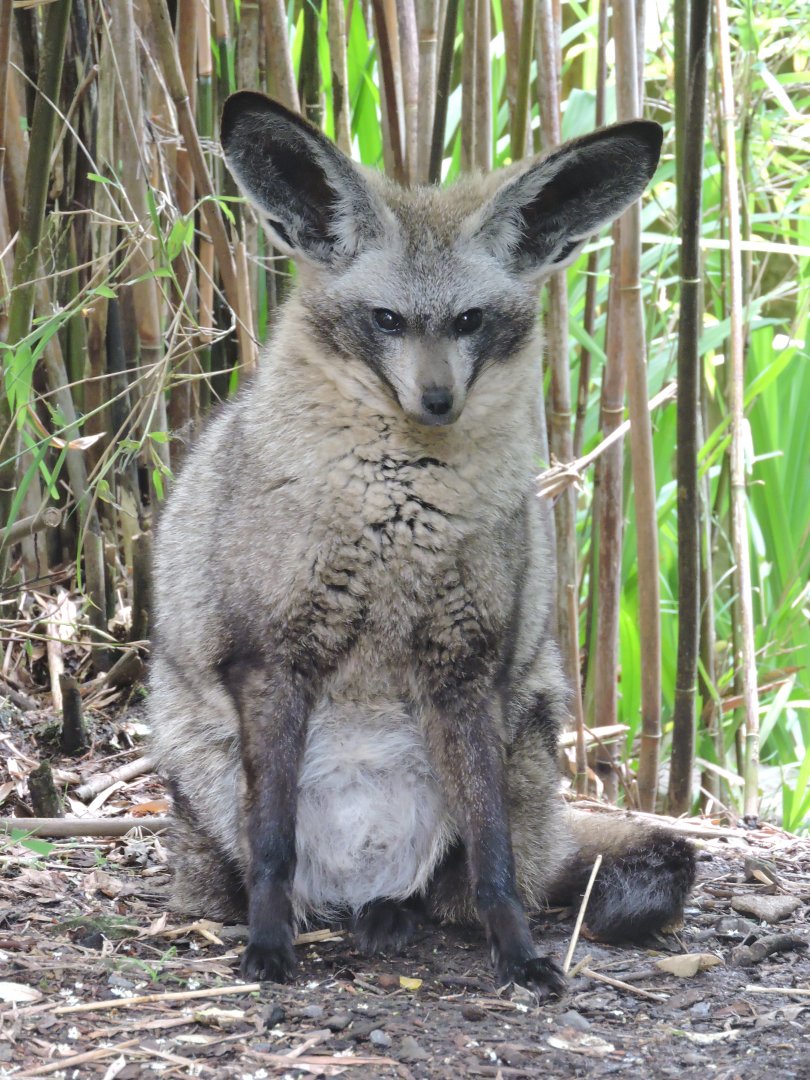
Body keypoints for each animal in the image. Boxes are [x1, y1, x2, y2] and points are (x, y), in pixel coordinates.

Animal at [149, 91, 695, 993]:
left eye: (470, 321)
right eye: (387, 320)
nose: (438, 401)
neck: (399, 516)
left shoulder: (467, 666)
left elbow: (496, 864)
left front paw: (520, 954)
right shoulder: (270, 659)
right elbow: (272, 849)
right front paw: (267, 945)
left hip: (523, 733)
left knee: (461, 879)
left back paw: (393, 915)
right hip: (207, 763)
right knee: (277, 872)